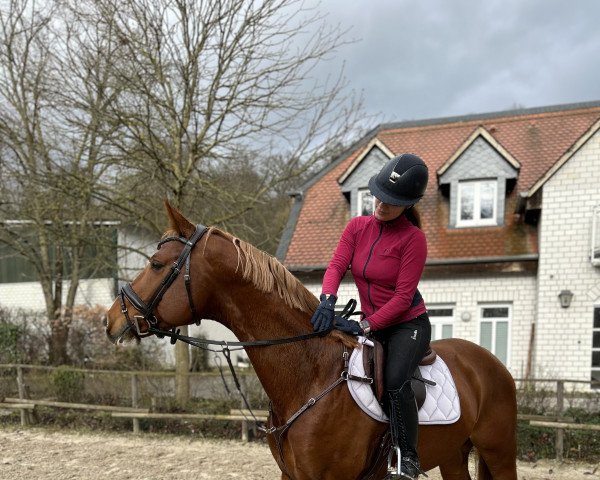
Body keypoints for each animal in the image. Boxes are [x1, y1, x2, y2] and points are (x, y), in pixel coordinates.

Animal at [103, 202, 516, 480]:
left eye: (156, 264)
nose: (111, 320)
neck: (311, 375)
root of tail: (491, 363)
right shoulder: (292, 474)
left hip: (498, 451)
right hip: (453, 454)